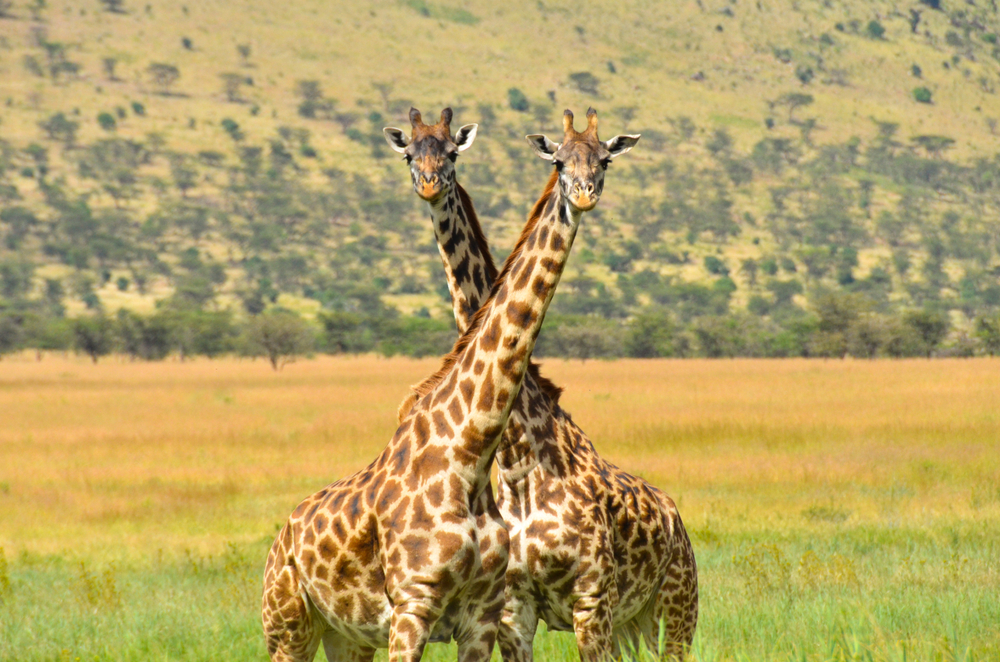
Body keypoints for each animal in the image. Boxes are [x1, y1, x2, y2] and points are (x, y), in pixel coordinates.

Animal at [260, 109, 608, 662]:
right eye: (559, 160)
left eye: (604, 158)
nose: (585, 195)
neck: (472, 453)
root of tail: (281, 537)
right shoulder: (413, 605)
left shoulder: (482, 615)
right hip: (287, 624)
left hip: (347, 636)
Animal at [386, 106, 700, 660]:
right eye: (410, 154)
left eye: (604, 160)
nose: (583, 194)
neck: (519, 460)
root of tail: (675, 515)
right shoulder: (515, 608)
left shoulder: (592, 598)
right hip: (633, 623)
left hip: (675, 609)